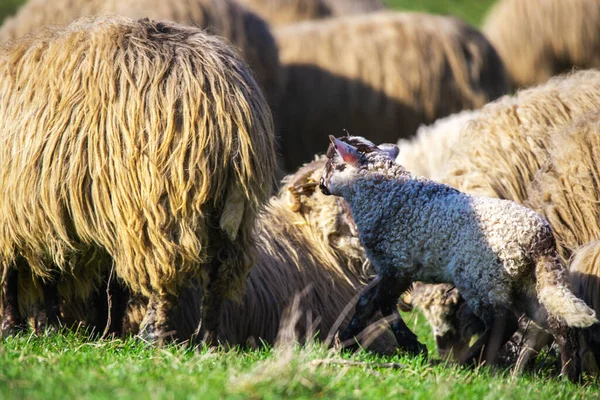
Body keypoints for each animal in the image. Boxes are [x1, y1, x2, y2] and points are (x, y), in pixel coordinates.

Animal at [0, 16, 276, 344]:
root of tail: (224, 99)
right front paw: (60, 328)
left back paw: (152, 335)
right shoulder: (52, 214)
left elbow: (17, 277)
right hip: (229, 208)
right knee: (219, 271)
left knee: (166, 269)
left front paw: (15, 328)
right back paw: (206, 339)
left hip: (158, 200)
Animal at [316, 135, 596, 382]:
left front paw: (411, 345)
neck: (382, 192)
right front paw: (342, 342)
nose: (320, 184)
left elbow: (383, 304)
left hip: (480, 276)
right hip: (526, 281)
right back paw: (569, 377)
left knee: (503, 322)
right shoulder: (391, 268)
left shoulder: (397, 264)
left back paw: (465, 363)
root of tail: (540, 239)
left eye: (331, 163)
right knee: (556, 322)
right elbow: (366, 302)